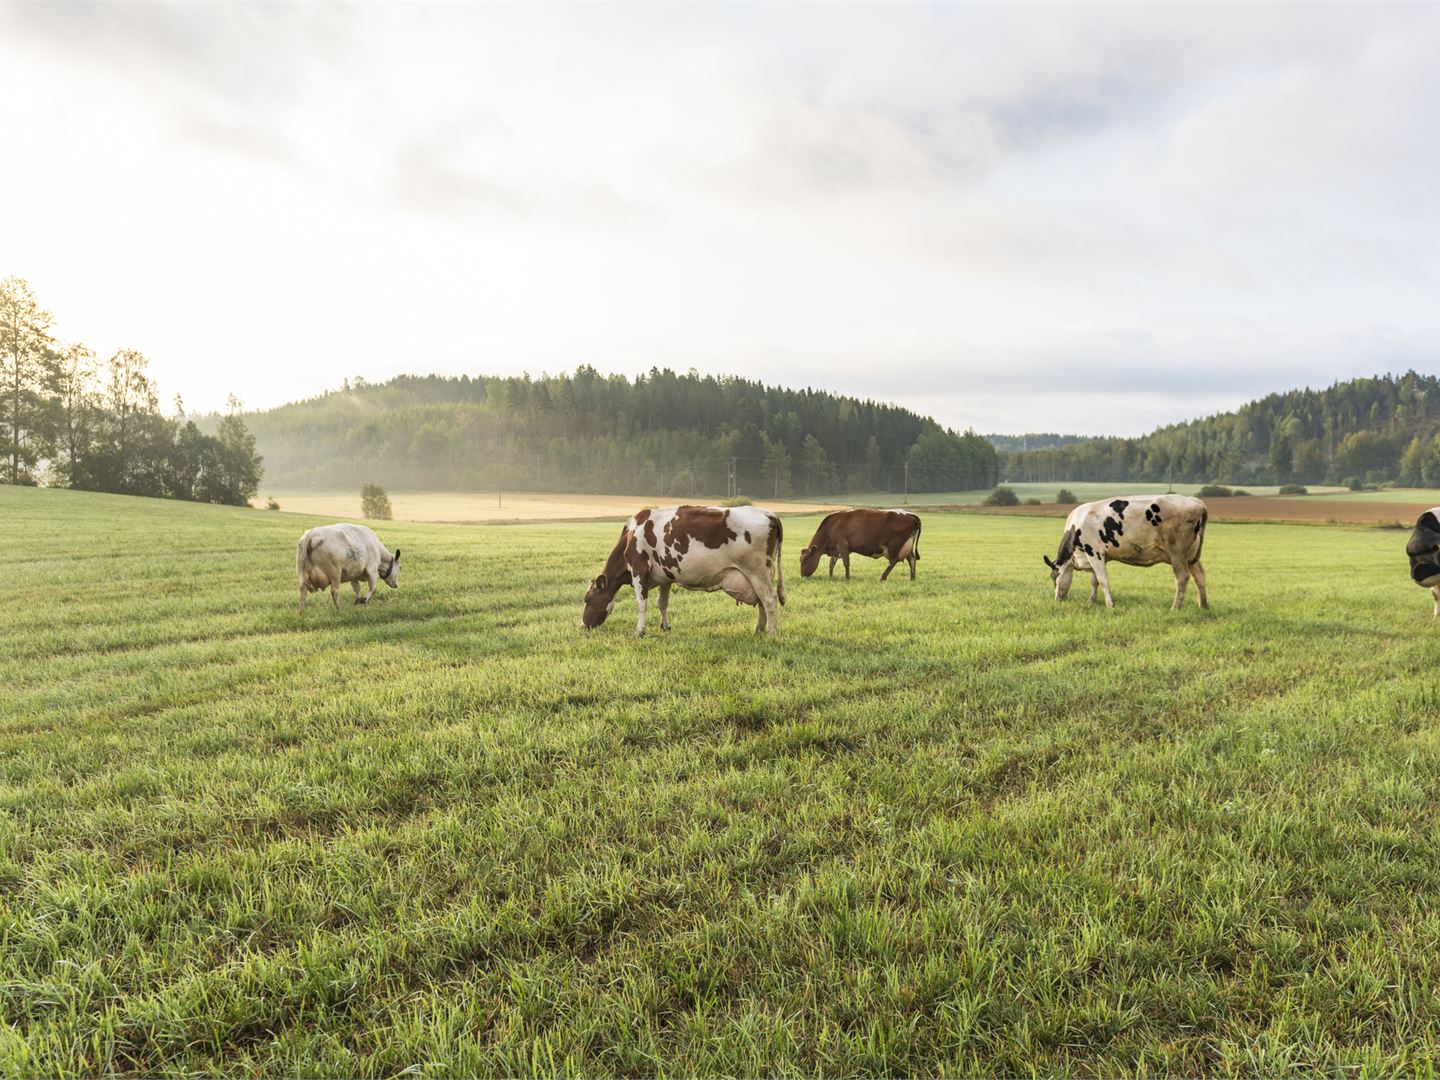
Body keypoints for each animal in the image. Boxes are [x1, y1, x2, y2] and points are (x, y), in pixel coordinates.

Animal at [581, 506, 789, 639]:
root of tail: (768, 513)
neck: (631, 535)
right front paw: (665, 627)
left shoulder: (639, 569)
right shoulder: (664, 577)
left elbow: (642, 603)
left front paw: (639, 631)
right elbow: (662, 603)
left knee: (769, 599)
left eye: (588, 599)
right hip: (763, 574)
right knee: (762, 601)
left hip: (757, 571)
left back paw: (771, 633)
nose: (583, 625)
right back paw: (759, 629)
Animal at [1042, 498, 1209, 613]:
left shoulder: (1093, 552)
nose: (1058, 599)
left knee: (1182, 578)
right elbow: (1094, 581)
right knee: (1200, 576)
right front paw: (1091, 601)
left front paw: (1110, 605)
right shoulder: (1100, 556)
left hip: (1177, 553)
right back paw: (1203, 605)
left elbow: (1103, 580)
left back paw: (1175, 608)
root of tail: (1198, 502)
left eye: (1054, 577)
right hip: (1191, 556)